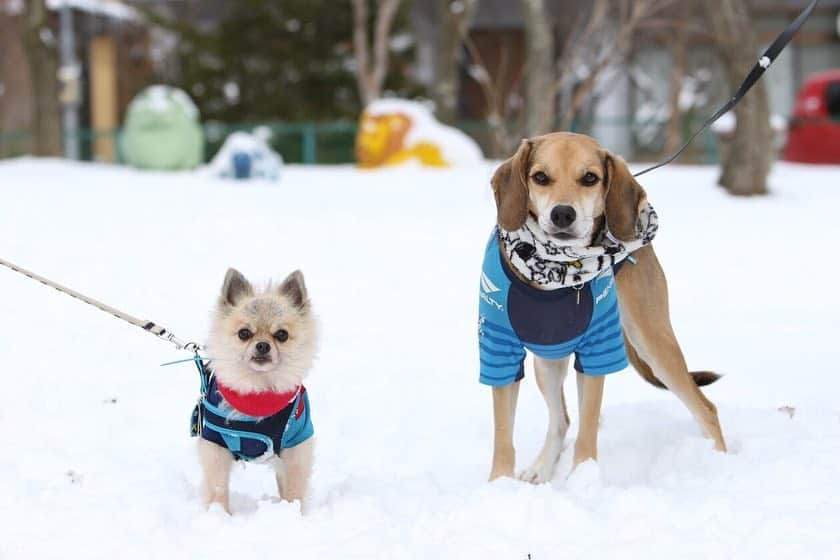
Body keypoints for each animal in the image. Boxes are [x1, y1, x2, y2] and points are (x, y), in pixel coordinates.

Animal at [195, 270, 316, 516]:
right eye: (244, 333)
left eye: (281, 334)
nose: (262, 345)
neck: (258, 391)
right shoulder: (215, 445)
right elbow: (218, 487)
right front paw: (219, 514)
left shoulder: (296, 446)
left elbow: (294, 489)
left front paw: (293, 513)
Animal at [488, 131, 724, 482]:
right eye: (540, 177)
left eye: (590, 178)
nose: (562, 214)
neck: (558, 271)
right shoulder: (499, 350)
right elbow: (504, 434)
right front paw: (498, 486)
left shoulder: (597, 352)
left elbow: (587, 431)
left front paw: (582, 482)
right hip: (547, 359)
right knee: (561, 420)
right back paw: (542, 468)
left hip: (653, 343)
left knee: (706, 409)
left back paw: (719, 463)